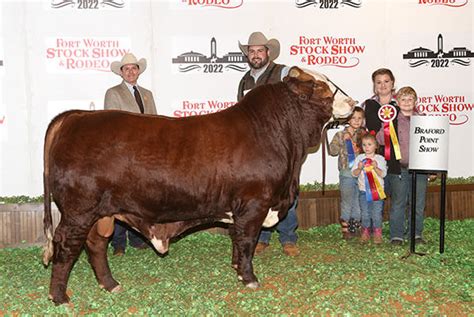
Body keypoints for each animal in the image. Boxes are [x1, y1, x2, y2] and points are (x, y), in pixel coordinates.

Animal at [42, 66, 354, 304]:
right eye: (319, 85)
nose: (352, 102)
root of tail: (77, 115)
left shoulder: (238, 209)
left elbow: (236, 239)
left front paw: (236, 268)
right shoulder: (254, 204)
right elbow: (247, 241)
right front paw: (249, 278)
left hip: (101, 213)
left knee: (95, 245)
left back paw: (110, 284)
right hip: (79, 210)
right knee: (66, 245)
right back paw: (60, 297)